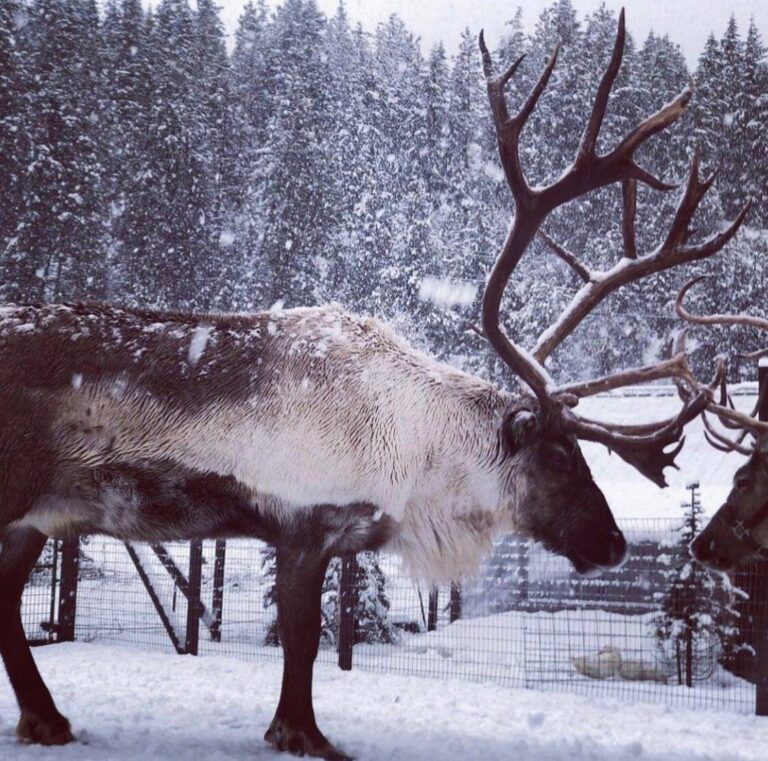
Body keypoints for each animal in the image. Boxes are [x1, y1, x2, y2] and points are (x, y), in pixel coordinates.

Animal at [0, 10, 747, 761]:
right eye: (561, 455)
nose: (614, 542)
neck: (417, 458)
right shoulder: (303, 523)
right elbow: (304, 643)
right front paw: (302, 735)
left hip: (34, 517)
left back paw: (47, 718)